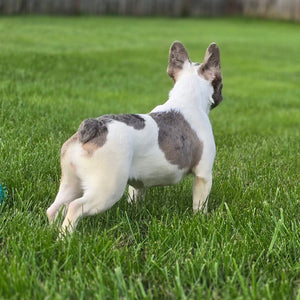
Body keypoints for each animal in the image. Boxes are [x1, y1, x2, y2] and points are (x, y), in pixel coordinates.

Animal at [47, 41, 223, 234]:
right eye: (220, 82)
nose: (221, 96)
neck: (186, 99)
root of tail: (92, 127)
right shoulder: (204, 174)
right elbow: (200, 203)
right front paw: (201, 220)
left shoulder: (138, 182)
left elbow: (136, 194)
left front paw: (136, 210)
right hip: (107, 189)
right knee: (75, 207)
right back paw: (66, 238)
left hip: (70, 182)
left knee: (55, 208)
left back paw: (53, 234)